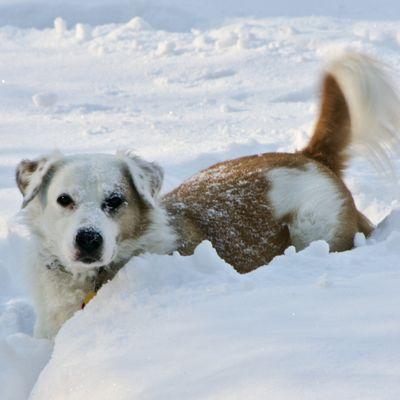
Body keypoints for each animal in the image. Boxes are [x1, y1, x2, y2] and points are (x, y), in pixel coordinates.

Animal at [17, 53, 400, 340]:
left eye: (114, 201)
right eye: (64, 200)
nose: (88, 239)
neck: (91, 279)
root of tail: (308, 156)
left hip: (316, 228)